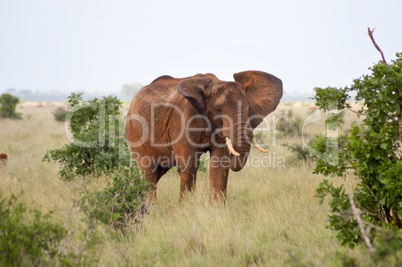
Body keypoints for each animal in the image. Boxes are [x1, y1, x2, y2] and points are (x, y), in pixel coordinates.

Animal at [125, 70, 282, 201]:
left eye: (249, 109)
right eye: (218, 109)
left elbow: (219, 166)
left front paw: (217, 212)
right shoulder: (183, 119)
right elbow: (189, 166)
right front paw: (186, 211)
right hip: (134, 131)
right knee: (149, 172)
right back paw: (150, 209)